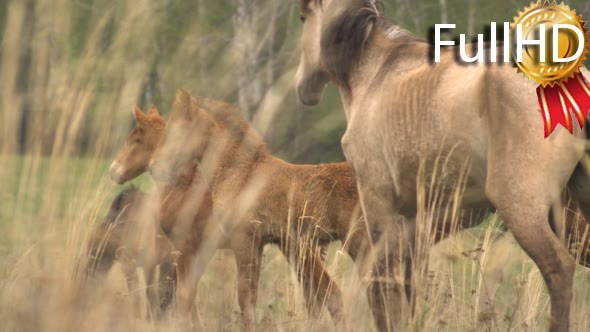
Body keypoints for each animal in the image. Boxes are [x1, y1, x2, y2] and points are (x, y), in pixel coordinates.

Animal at [296, 1, 590, 330]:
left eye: (303, 18)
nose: (303, 87)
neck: (375, 74)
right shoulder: (418, 219)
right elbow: (411, 282)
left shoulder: (377, 200)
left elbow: (383, 281)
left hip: (522, 205)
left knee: (558, 270)